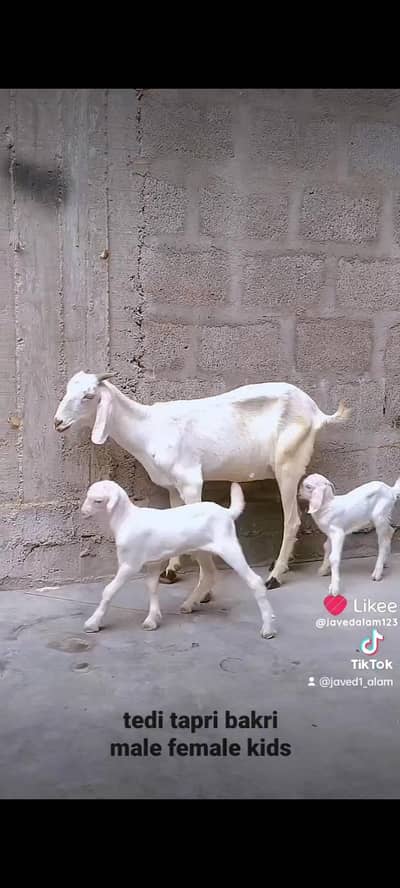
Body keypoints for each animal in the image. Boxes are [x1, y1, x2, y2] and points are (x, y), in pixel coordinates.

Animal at [54, 371, 350, 599]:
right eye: (68, 390)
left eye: (89, 396)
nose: (58, 422)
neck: (148, 428)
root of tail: (316, 413)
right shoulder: (172, 485)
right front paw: (170, 571)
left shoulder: (190, 480)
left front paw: (203, 589)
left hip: (288, 463)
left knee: (292, 519)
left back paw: (275, 576)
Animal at [80, 479, 276, 638]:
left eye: (97, 500)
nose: (83, 511)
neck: (126, 520)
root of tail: (227, 513)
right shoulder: (153, 562)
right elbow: (151, 587)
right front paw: (152, 619)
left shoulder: (130, 564)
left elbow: (109, 590)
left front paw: (92, 623)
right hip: (201, 550)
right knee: (209, 574)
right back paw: (189, 604)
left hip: (228, 547)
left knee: (254, 581)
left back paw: (268, 628)